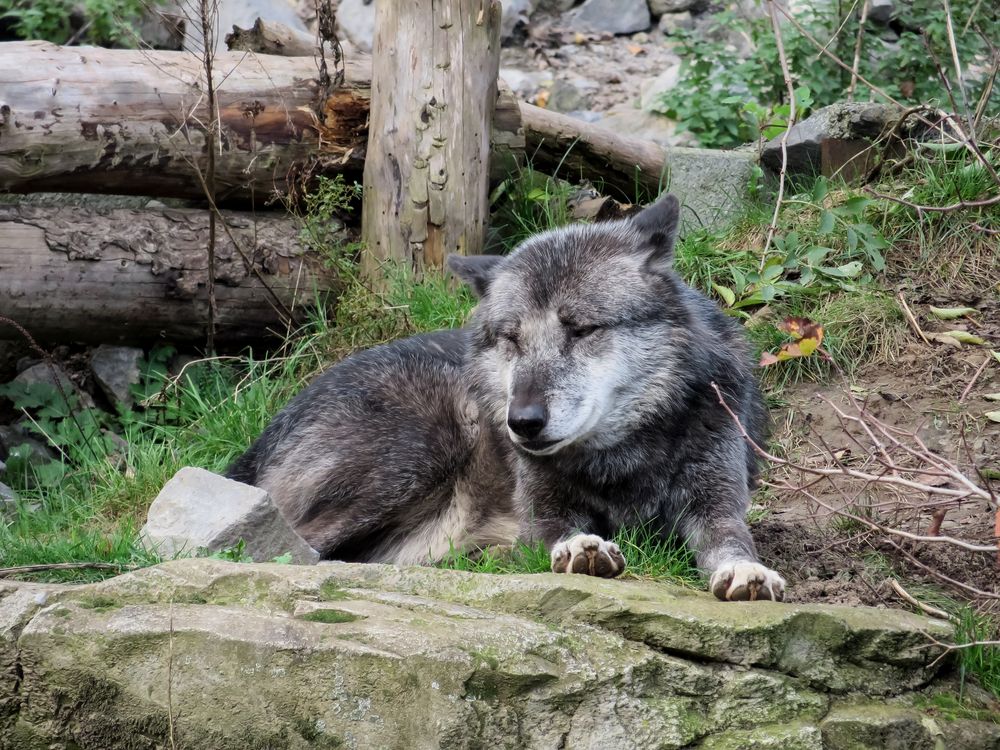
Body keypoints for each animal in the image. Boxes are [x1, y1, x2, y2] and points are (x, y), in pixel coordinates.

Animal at [230, 195, 784, 604]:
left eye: (580, 329)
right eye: (511, 339)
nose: (522, 422)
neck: (619, 462)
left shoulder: (716, 502)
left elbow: (732, 539)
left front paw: (746, 571)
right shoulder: (543, 514)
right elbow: (559, 534)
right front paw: (582, 548)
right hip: (419, 450)